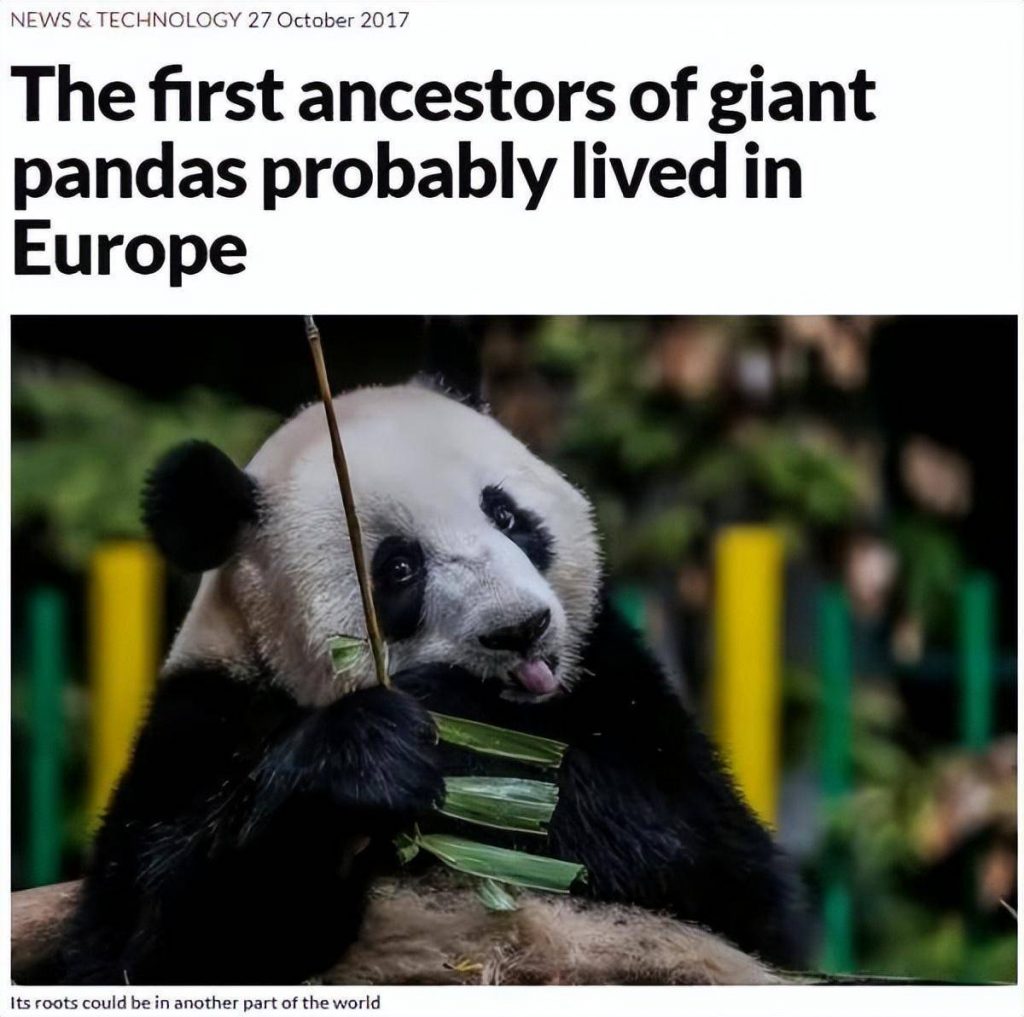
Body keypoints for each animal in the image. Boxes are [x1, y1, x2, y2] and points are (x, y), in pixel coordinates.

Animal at [58, 377, 805, 985]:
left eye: (507, 515)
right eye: (398, 568)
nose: (520, 629)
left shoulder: (614, 677)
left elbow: (720, 868)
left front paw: (457, 725)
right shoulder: (205, 720)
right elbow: (147, 941)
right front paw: (371, 756)